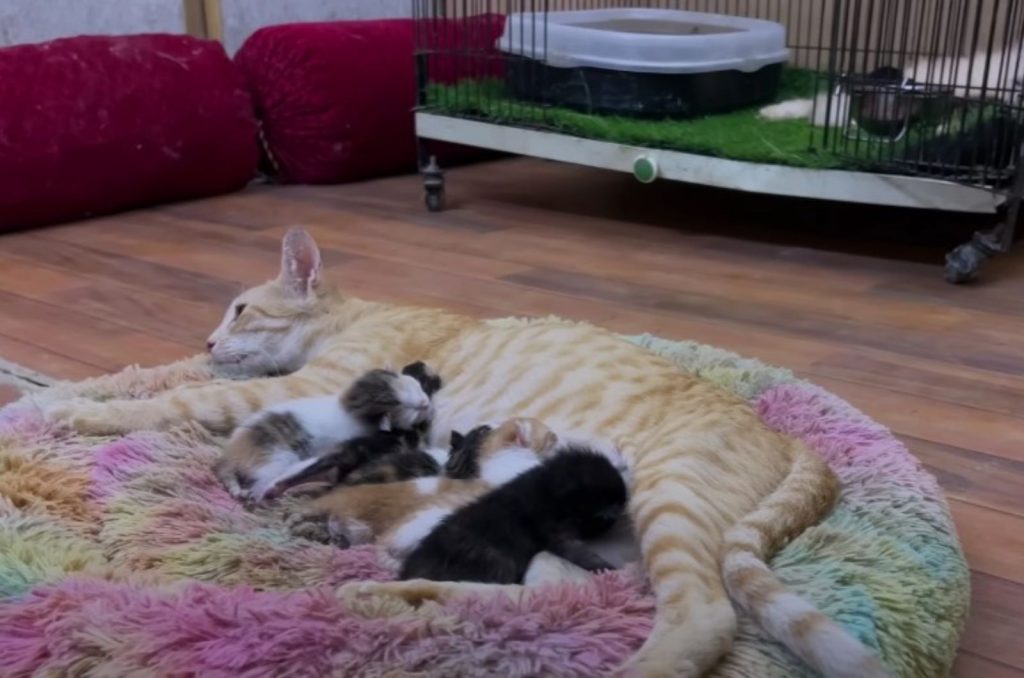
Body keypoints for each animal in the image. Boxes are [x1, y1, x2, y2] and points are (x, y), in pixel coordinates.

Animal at [214, 360, 438, 503]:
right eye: (414, 387)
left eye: (420, 386)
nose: (425, 402)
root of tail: (230, 454)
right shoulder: (361, 395)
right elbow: (384, 390)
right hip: (278, 456)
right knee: (269, 478)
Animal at [397, 448, 622, 585]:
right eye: (603, 516)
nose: (613, 520)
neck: (547, 486)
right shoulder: (554, 531)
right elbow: (577, 552)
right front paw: (605, 568)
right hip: (496, 561)